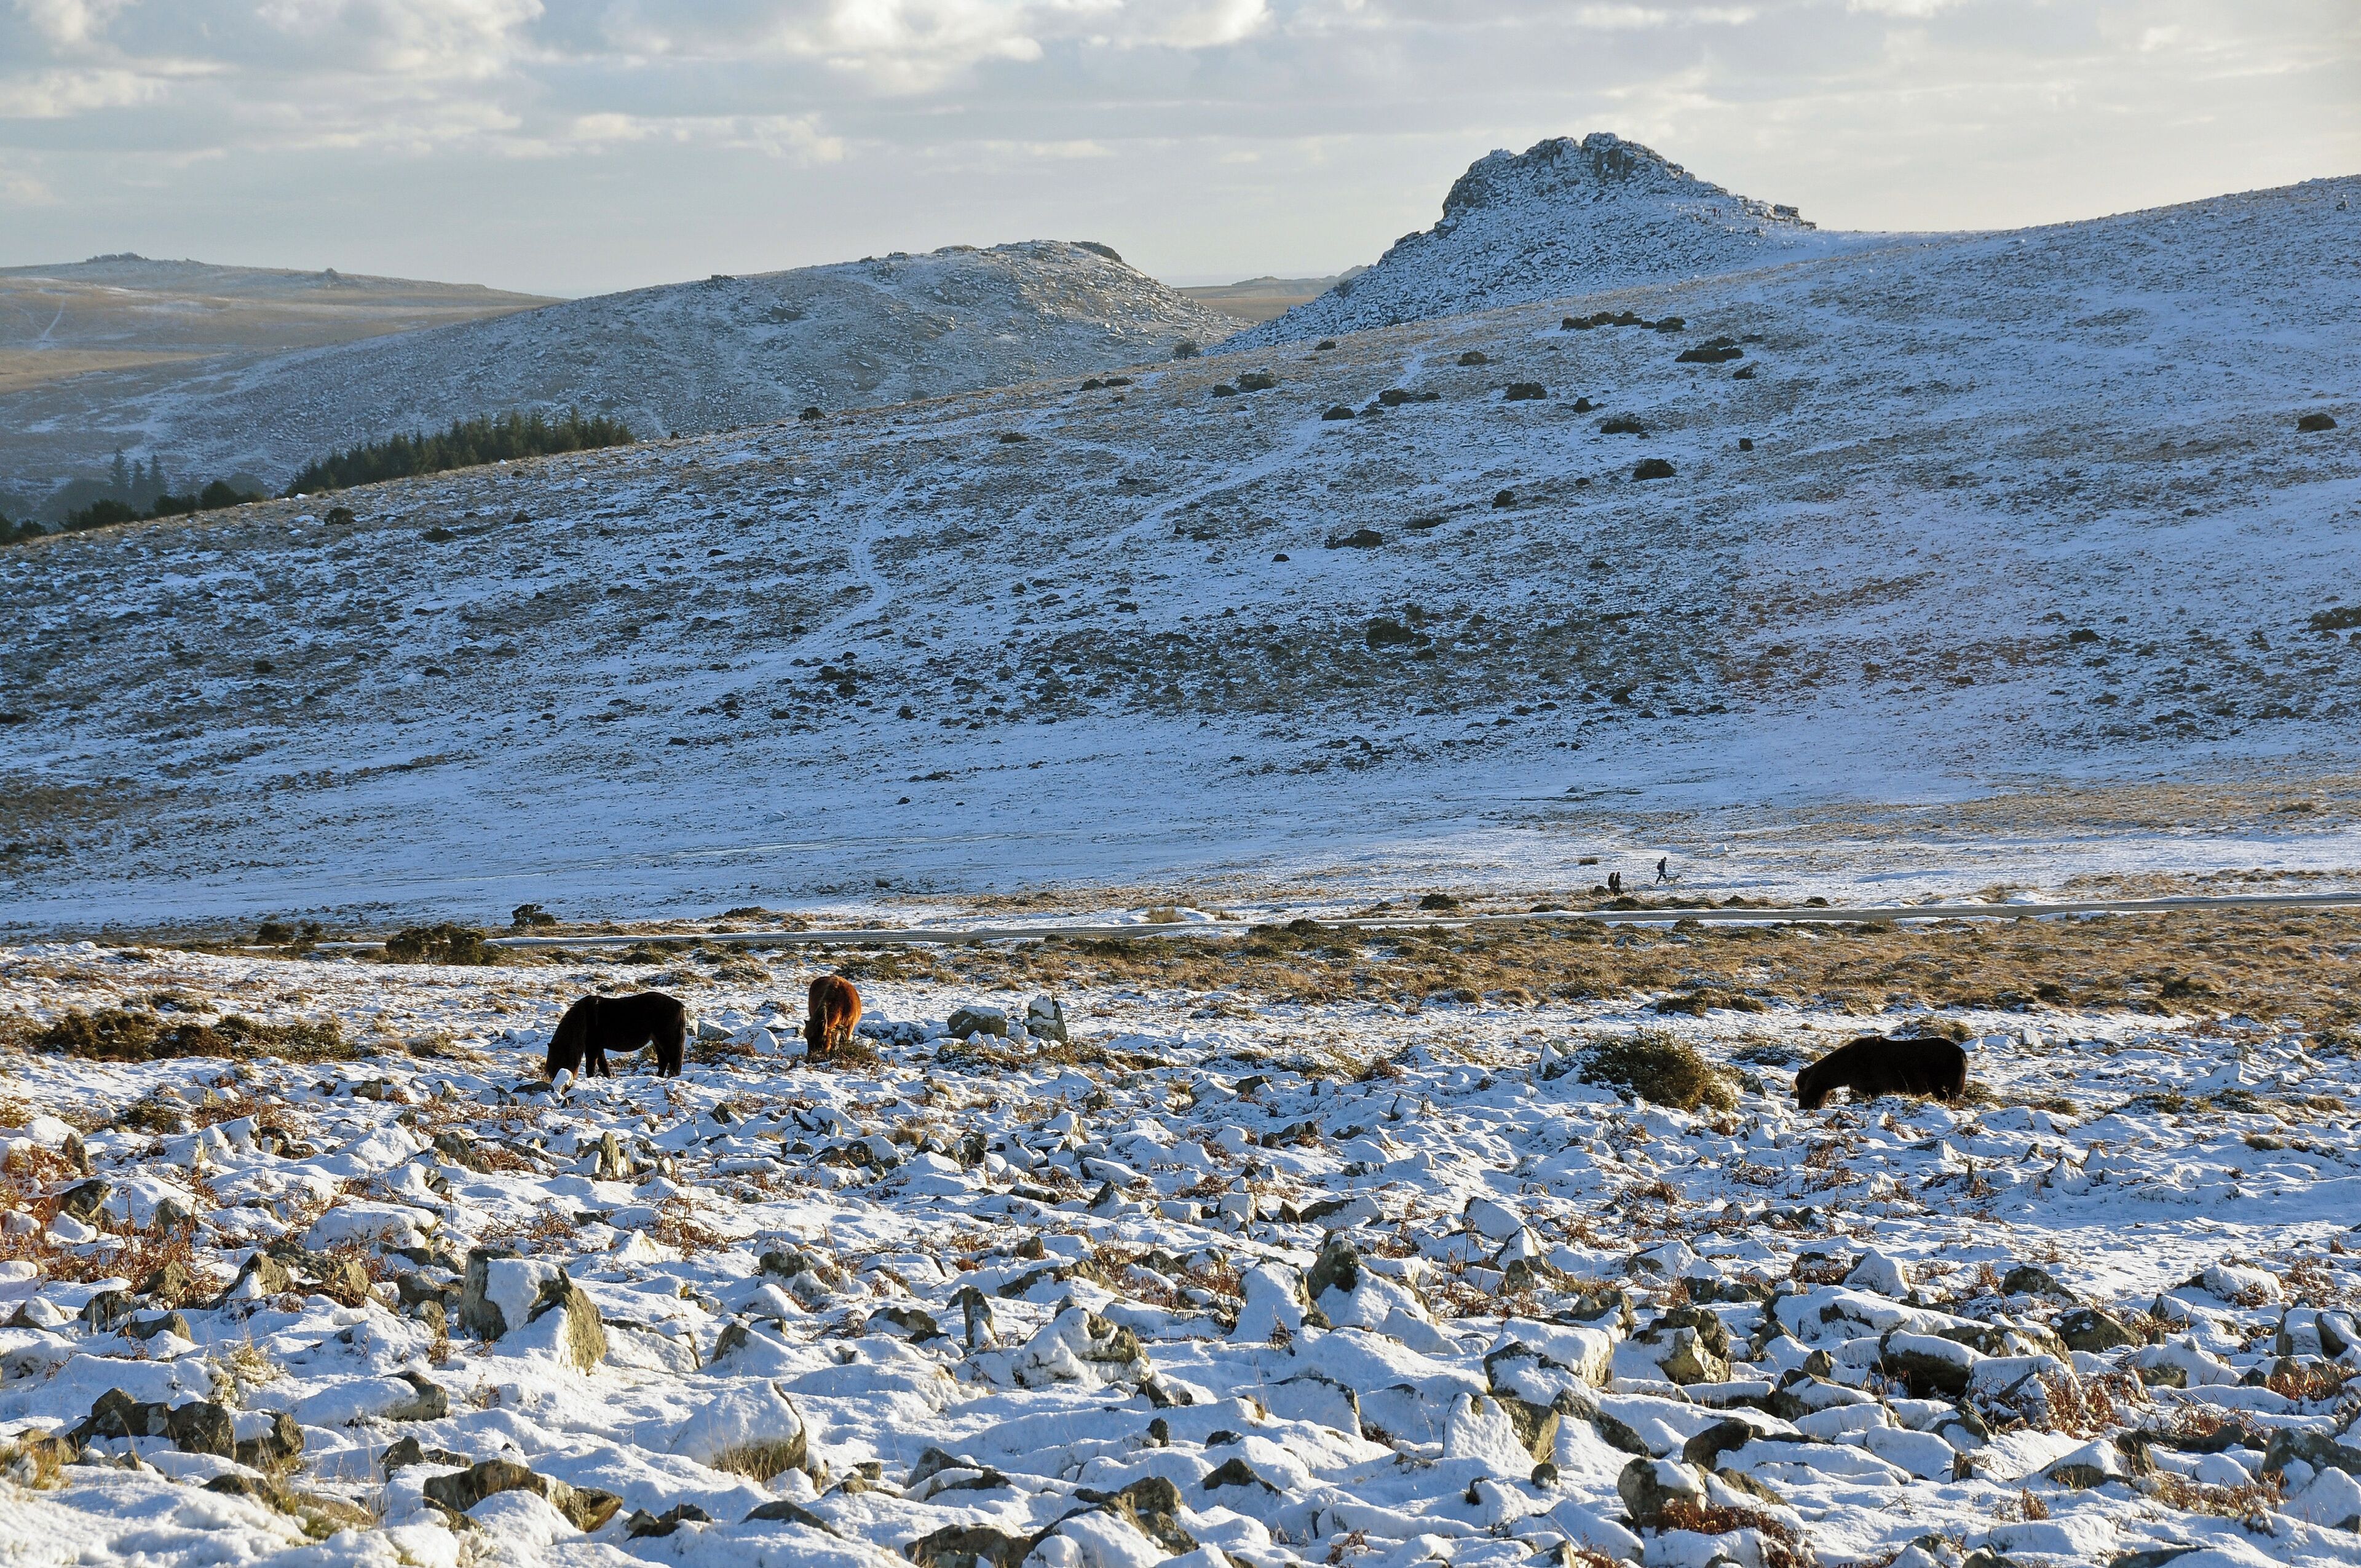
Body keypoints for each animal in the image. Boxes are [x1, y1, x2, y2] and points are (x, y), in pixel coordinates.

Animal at [546, 991, 688, 1080]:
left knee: (674, 1061)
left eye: (557, 1056)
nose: (553, 1078)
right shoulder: (598, 1047)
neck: (584, 1018)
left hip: (667, 1040)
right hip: (657, 1041)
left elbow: (591, 1066)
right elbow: (603, 1065)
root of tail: (679, 1005)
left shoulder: (592, 1047)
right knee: (664, 1061)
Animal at [1793, 1034, 1969, 1111]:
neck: (1850, 1064)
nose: (1803, 1107)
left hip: (1945, 1092)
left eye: (1803, 1087)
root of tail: (1962, 1054)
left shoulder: (1874, 1091)